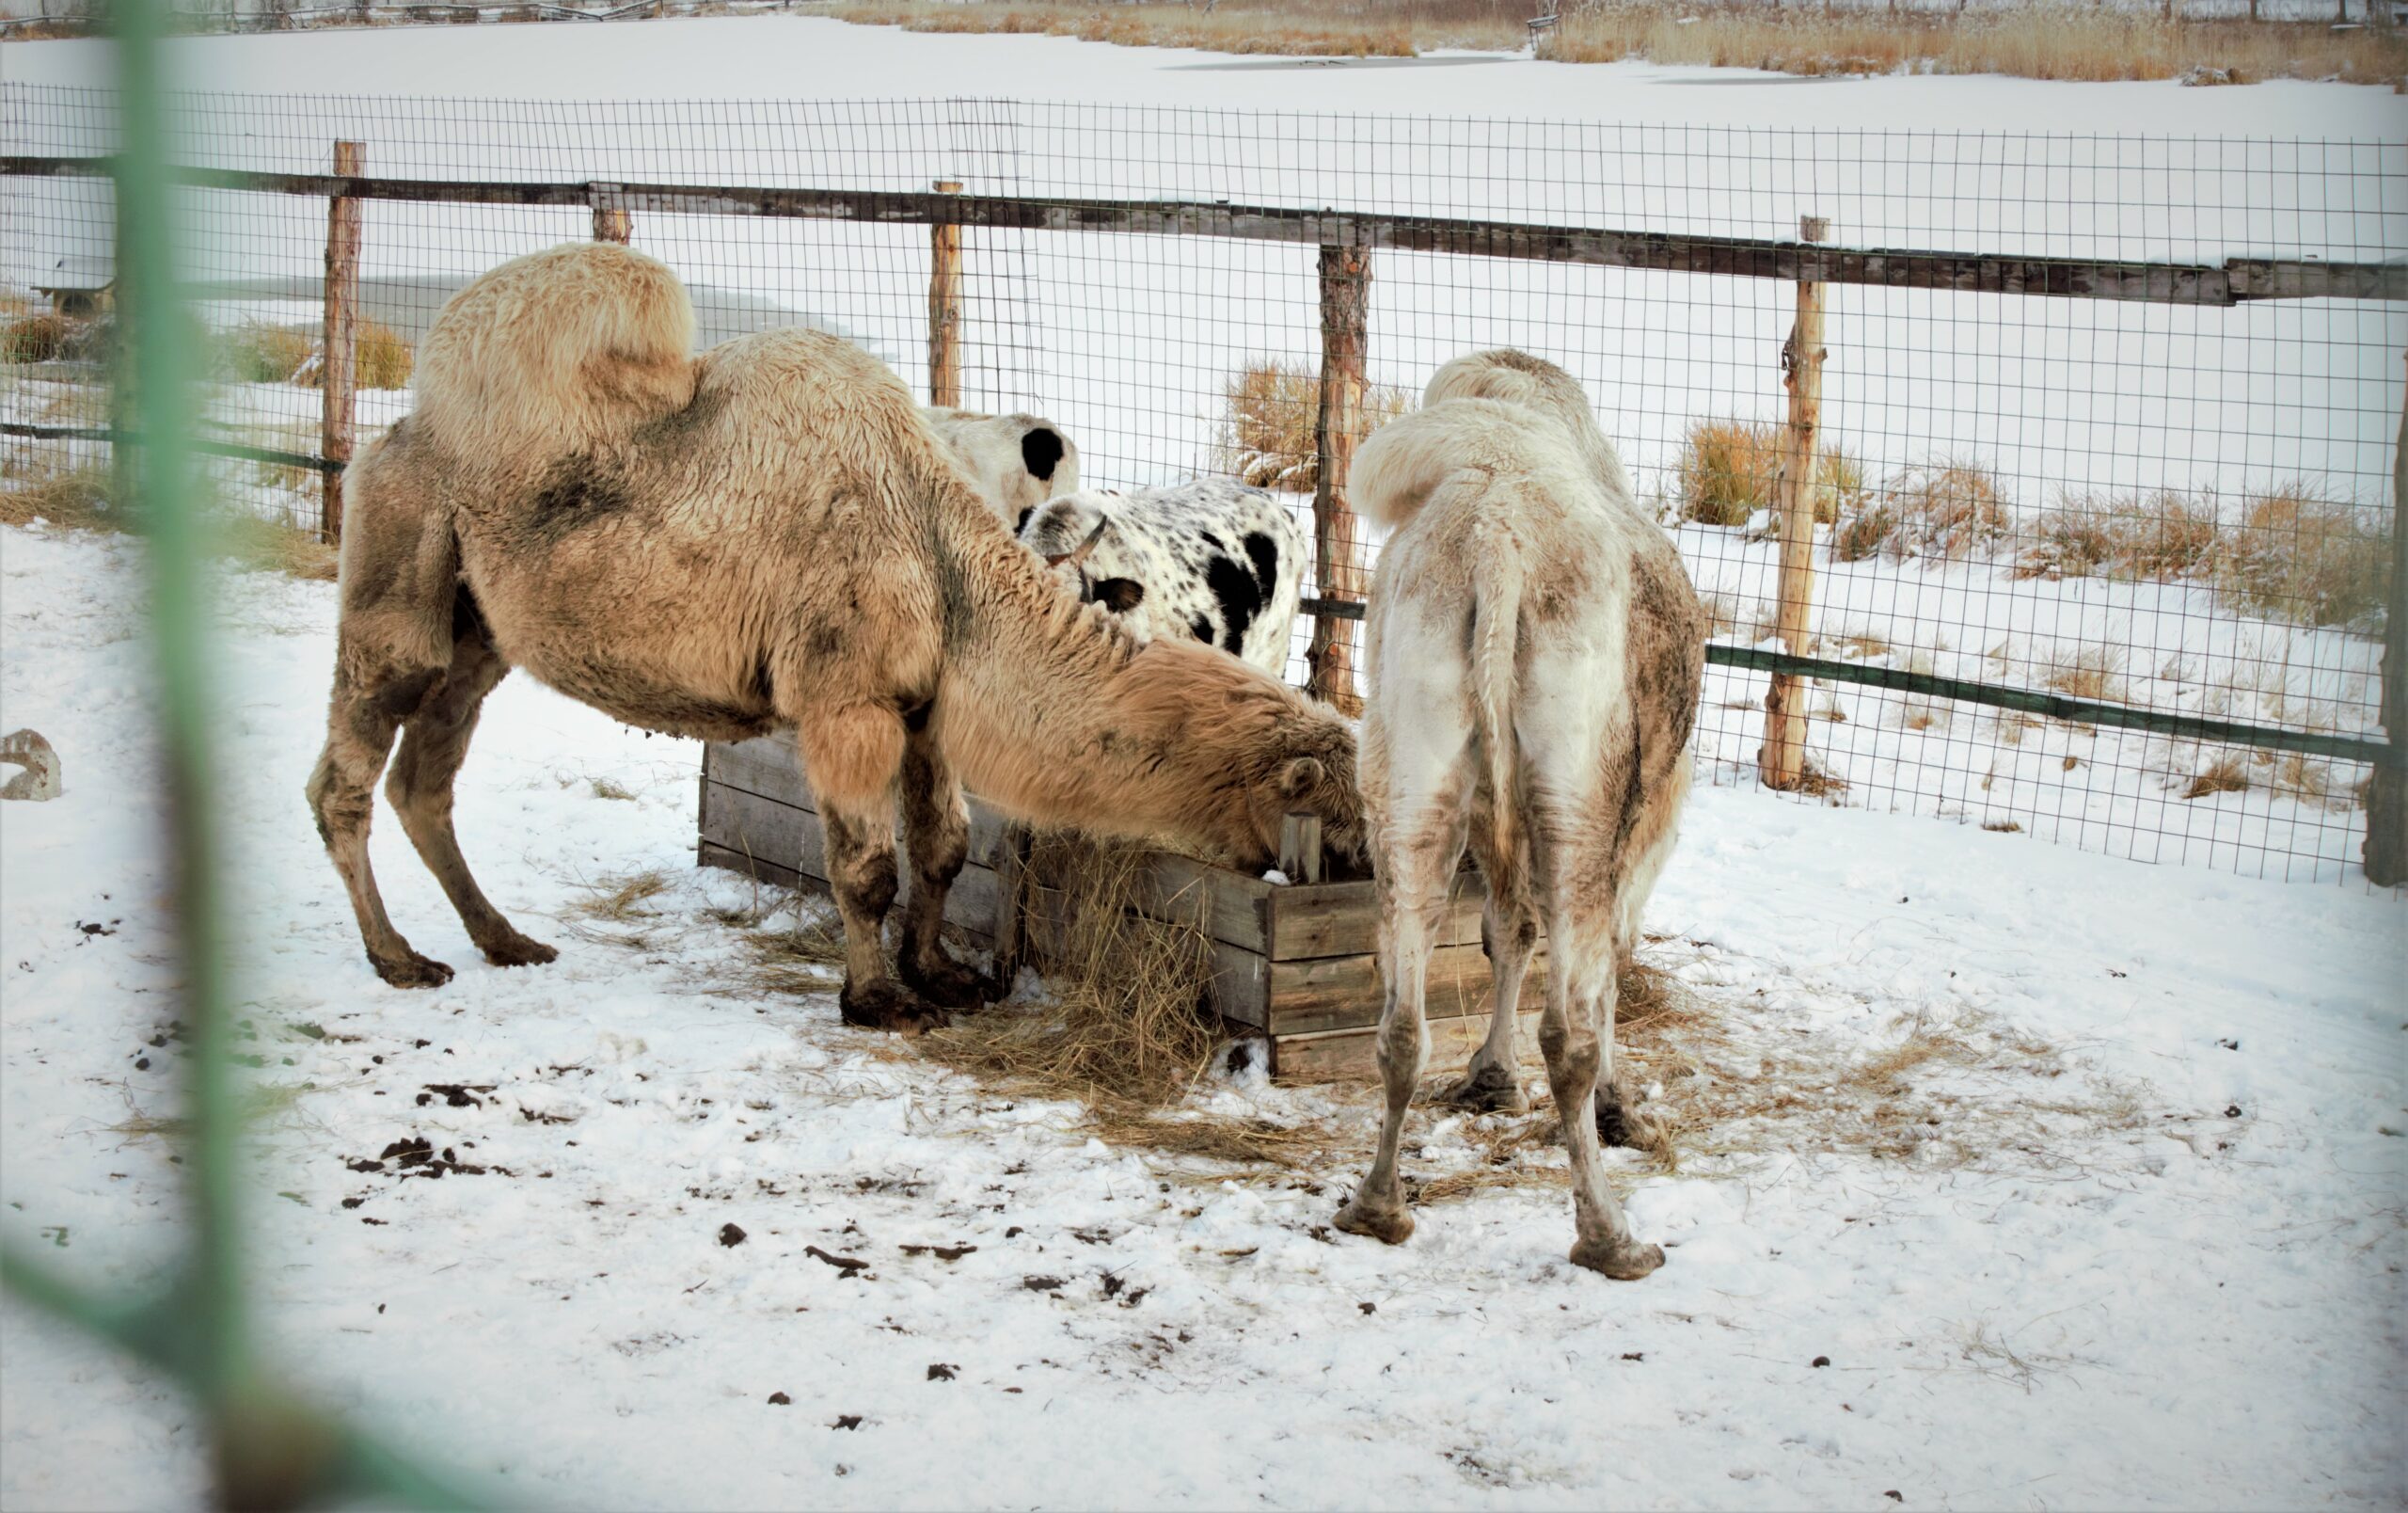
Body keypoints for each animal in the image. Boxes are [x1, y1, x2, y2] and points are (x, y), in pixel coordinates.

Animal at [308, 246, 1368, 1026]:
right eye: (1345, 824)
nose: (1363, 895)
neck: (939, 548)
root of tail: (390, 434)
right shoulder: (845, 699)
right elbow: (865, 868)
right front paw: (879, 999)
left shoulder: (926, 703)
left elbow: (943, 848)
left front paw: (943, 973)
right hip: (400, 557)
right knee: (349, 769)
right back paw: (398, 958)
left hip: (479, 630)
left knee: (425, 777)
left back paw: (504, 940)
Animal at [1329, 351, 1704, 1271]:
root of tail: (1496, 546)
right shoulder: (1647, 822)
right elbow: (1604, 960)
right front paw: (1620, 1111)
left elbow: (1506, 931)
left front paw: (1490, 1079)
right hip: (1580, 791)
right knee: (1568, 1026)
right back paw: (1611, 1236)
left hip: (1410, 766)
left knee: (1402, 1019)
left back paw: (1377, 1206)